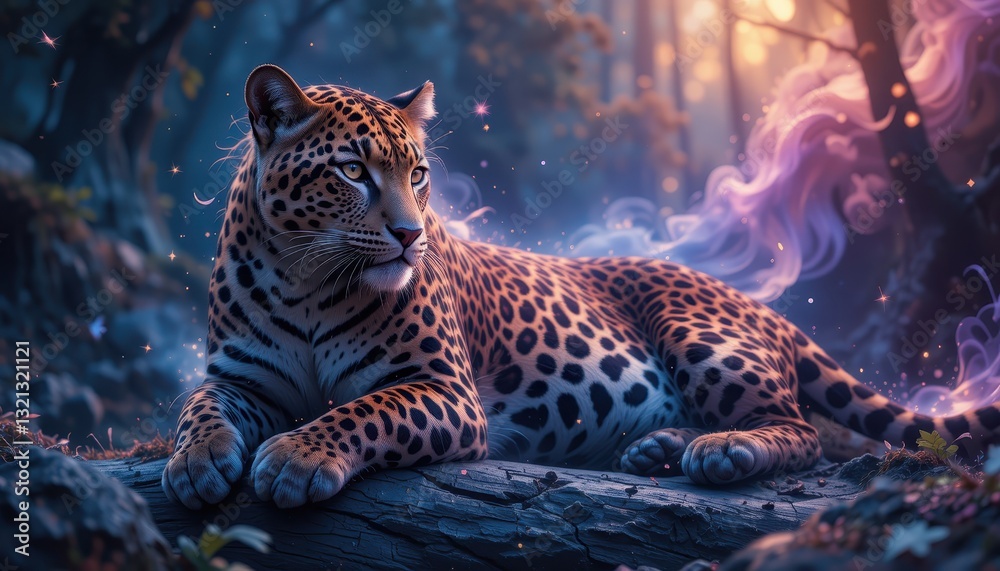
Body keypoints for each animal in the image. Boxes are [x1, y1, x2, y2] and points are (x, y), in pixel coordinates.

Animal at [162, 64, 1000, 509]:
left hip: (702, 337)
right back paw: (658, 446)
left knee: (801, 430)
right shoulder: (243, 379)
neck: (303, 278)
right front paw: (197, 461)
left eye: (418, 173)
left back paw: (721, 451)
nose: (410, 235)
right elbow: (198, 405)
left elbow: (360, 411)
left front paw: (296, 456)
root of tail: (755, 302)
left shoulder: (440, 387)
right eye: (351, 171)